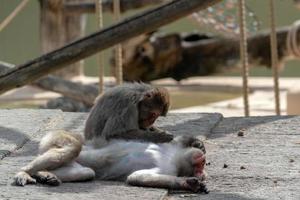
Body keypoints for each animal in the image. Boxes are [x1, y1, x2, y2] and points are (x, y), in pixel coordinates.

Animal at [12, 130, 207, 193]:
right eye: (202, 163)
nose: (202, 172)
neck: (174, 156)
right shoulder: (172, 154)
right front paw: (188, 182)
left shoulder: (170, 167)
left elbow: (136, 177)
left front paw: (190, 183)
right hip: (55, 137)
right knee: (74, 147)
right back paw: (25, 171)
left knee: (86, 172)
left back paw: (43, 174)